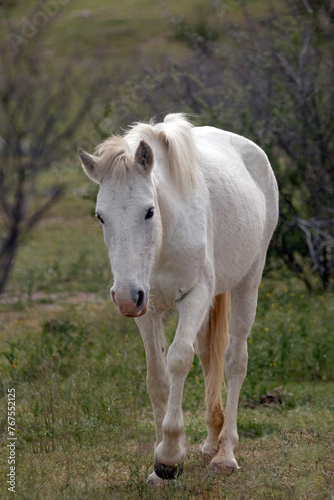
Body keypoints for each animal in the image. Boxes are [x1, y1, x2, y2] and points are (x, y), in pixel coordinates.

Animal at [77, 113, 276, 484]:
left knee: (234, 361)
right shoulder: (146, 308)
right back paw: (211, 444)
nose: (123, 297)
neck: (164, 242)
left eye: (149, 211)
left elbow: (179, 360)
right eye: (100, 216)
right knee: (210, 358)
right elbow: (157, 378)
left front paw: (170, 456)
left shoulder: (195, 297)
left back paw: (225, 454)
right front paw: (158, 465)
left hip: (249, 280)